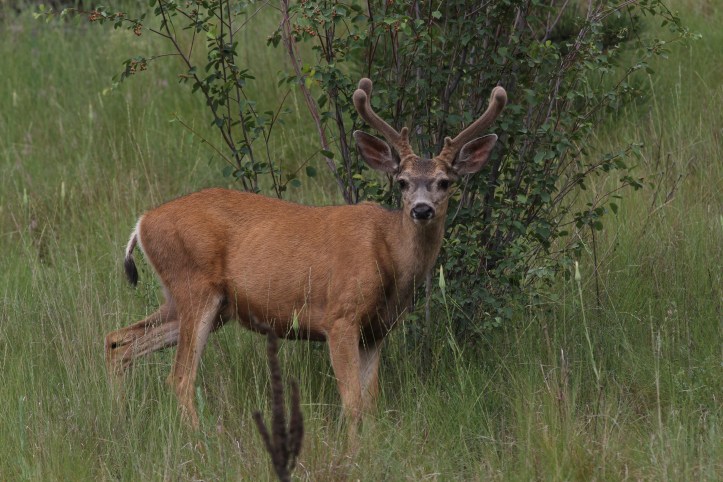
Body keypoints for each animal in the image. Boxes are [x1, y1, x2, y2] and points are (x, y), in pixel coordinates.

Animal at [105, 78, 507, 436]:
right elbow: (352, 402)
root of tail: (143, 222)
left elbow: (371, 403)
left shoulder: (377, 330)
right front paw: (352, 455)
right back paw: (200, 439)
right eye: (402, 181)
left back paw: (120, 419)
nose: (421, 210)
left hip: (200, 303)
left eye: (445, 182)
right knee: (179, 376)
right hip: (195, 286)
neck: (389, 256)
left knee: (118, 342)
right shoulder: (341, 316)